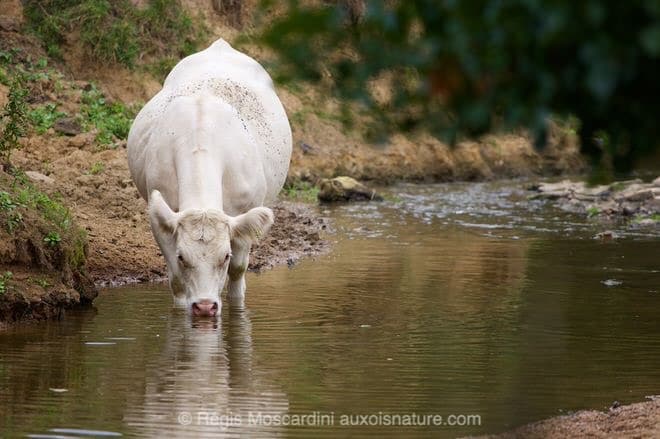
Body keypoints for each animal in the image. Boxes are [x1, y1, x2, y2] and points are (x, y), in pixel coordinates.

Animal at [128, 39, 292, 316]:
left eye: (224, 256)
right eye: (182, 256)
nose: (205, 306)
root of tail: (220, 46)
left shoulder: (245, 214)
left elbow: (238, 271)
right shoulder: (160, 218)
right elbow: (176, 280)